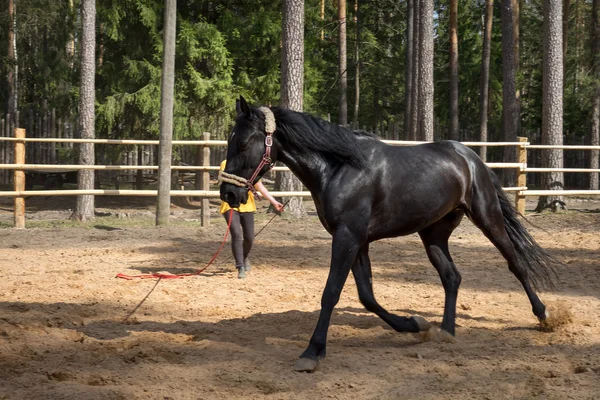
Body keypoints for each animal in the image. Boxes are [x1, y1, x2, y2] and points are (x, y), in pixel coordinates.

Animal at [219, 96, 556, 372]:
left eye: (242, 142)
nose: (228, 194)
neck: (339, 168)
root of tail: (471, 159)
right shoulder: (357, 242)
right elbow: (367, 297)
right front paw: (414, 324)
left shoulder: (348, 238)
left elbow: (332, 292)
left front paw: (311, 353)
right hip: (433, 234)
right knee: (452, 276)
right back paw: (445, 331)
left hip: (487, 217)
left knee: (515, 263)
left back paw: (544, 316)